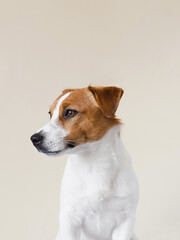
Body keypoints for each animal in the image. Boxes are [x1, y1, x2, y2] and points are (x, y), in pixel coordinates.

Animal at [30, 86, 139, 240]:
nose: (34, 139)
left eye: (70, 112)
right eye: (50, 114)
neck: (95, 164)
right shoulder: (70, 219)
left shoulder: (125, 220)